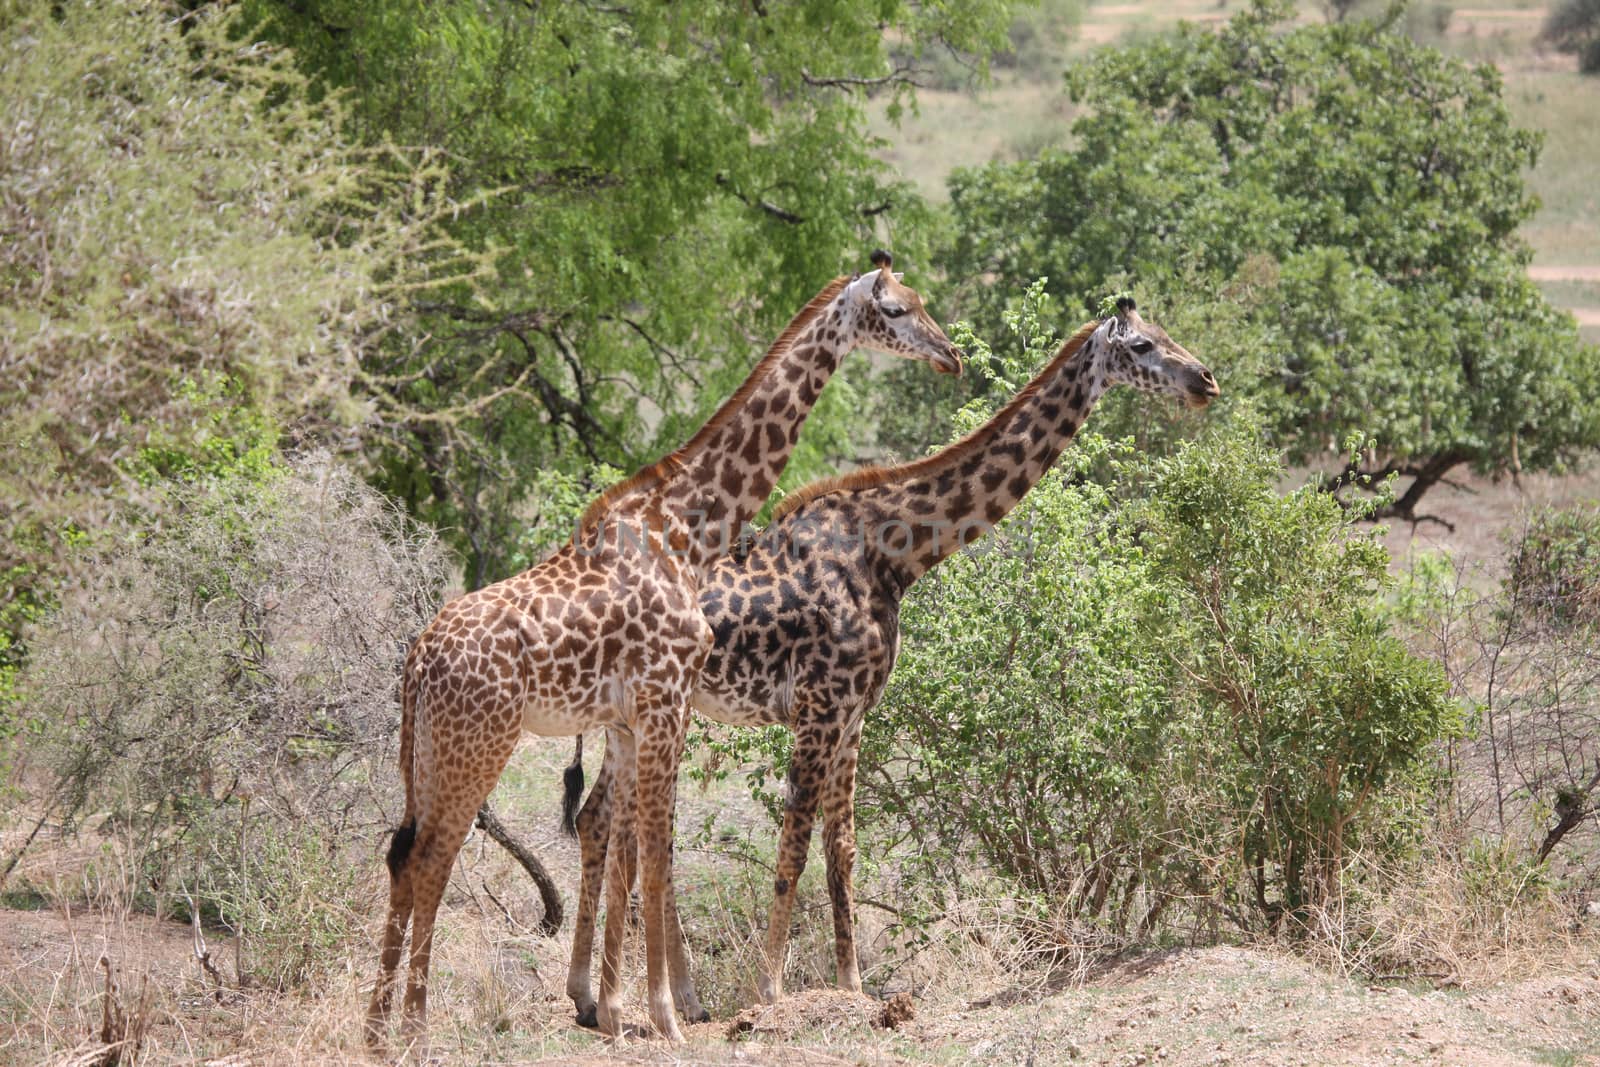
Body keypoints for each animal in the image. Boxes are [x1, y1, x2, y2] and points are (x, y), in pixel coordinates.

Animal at [366, 254, 960, 1055]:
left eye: (921, 300)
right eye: (894, 309)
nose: (950, 355)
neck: (685, 524)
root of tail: (418, 660)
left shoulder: (631, 714)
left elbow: (632, 850)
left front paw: (622, 1010)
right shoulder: (667, 696)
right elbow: (652, 854)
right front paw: (666, 1017)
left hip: (426, 750)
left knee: (403, 854)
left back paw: (378, 1032)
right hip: (479, 742)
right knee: (433, 857)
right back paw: (418, 1030)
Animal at [560, 299, 1209, 1017]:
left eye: (1169, 333)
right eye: (1144, 346)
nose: (1204, 380)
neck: (896, 553)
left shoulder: (854, 715)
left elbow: (842, 851)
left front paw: (852, 986)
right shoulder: (819, 708)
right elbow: (793, 848)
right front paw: (772, 990)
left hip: (632, 715)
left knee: (604, 821)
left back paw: (606, 995)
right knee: (635, 830)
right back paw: (650, 999)